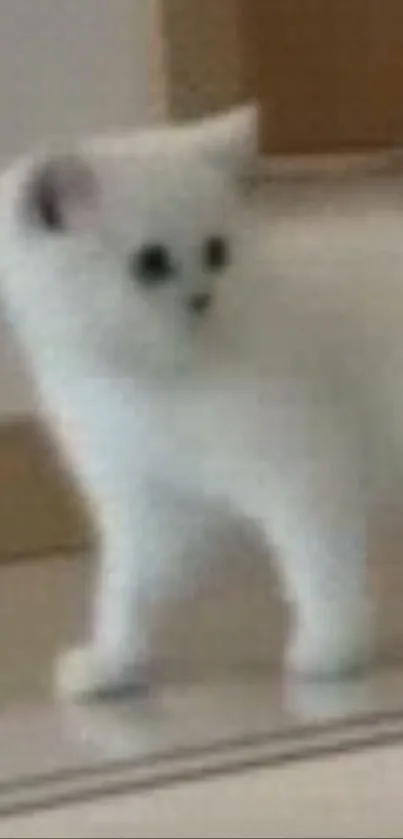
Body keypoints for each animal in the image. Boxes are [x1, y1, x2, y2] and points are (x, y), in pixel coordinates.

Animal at [1, 106, 394, 704]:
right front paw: (112, 663)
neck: (155, 384)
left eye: (216, 252)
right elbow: (125, 591)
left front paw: (331, 648)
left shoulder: (306, 472)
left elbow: (316, 565)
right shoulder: (154, 504)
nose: (202, 299)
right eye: (150, 264)